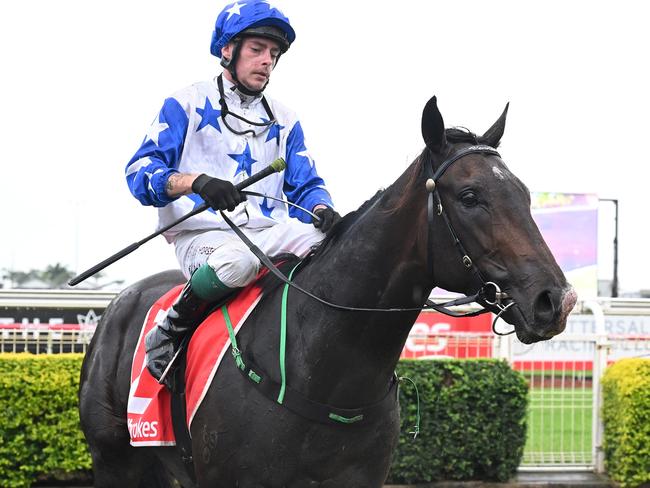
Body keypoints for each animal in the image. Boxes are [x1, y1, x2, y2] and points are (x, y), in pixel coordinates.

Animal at [78, 97, 576, 486]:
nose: (556, 300)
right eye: (470, 196)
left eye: (524, 194)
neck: (321, 371)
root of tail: (118, 304)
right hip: (115, 460)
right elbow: (147, 165)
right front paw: (211, 186)